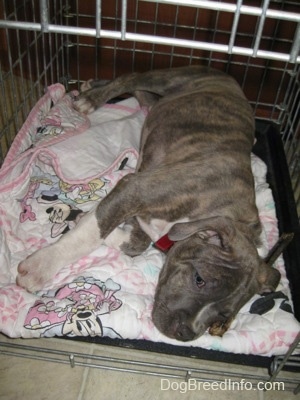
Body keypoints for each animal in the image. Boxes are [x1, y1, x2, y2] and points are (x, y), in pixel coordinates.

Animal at [16, 65, 280, 340]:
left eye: (223, 315)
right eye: (199, 279)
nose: (185, 333)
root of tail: (229, 78)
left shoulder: (139, 209)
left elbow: (134, 244)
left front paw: (95, 226)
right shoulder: (136, 189)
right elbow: (90, 235)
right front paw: (42, 265)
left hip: (161, 102)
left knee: (140, 93)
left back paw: (91, 85)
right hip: (170, 78)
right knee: (131, 78)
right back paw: (92, 98)